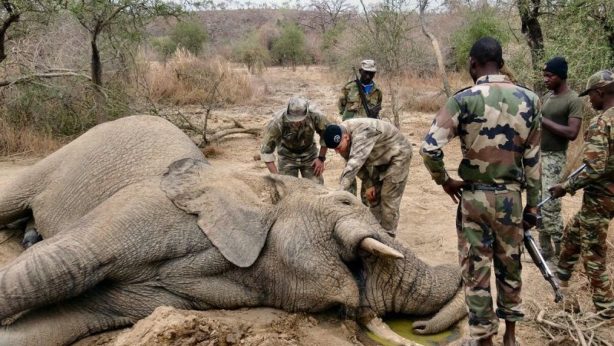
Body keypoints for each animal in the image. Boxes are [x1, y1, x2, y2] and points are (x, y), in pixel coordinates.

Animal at [0, 115, 466, 344]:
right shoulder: (146, 204)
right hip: (67, 153)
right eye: (344, 202)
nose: (419, 330)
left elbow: (65, 320)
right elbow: (58, 265)